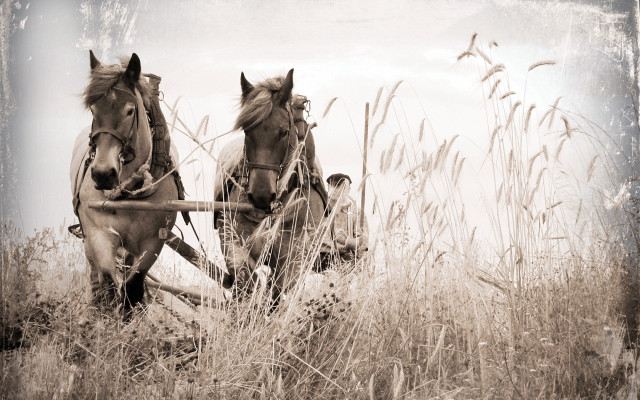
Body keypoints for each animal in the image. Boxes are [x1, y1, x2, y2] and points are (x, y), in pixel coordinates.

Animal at [72, 51, 178, 311]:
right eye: (93, 109)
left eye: (130, 111)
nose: (103, 174)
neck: (129, 193)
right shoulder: (98, 233)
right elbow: (109, 283)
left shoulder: (152, 242)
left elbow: (133, 288)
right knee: (96, 277)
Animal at [214, 69, 328, 305]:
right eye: (247, 131)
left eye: (284, 132)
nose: (261, 195)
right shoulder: (231, 240)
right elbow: (244, 277)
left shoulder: (295, 257)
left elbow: (279, 291)